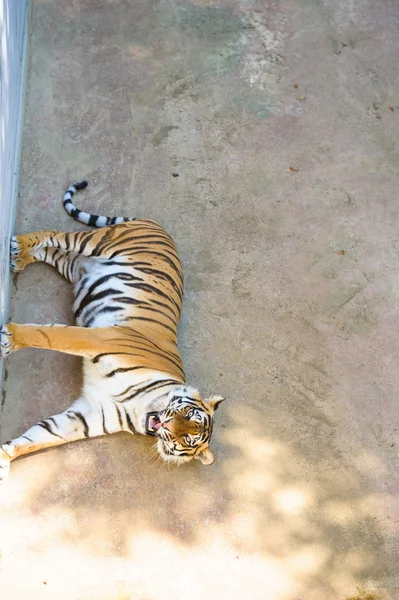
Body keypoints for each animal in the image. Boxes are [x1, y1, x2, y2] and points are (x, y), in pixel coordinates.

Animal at [0, 180, 225, 480]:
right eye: (188, 415)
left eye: (188, 438)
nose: (167, 426)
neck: (140, 407)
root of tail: (156, 224)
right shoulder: (102, 337)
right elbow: (51, 335)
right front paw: (9, 337)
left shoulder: (86, 416)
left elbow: (39, 438)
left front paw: (3, 458)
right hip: (93, 241)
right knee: (53, 235)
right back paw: (18, 245)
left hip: (74, 267)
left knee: (50, 252)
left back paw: (20, 257)